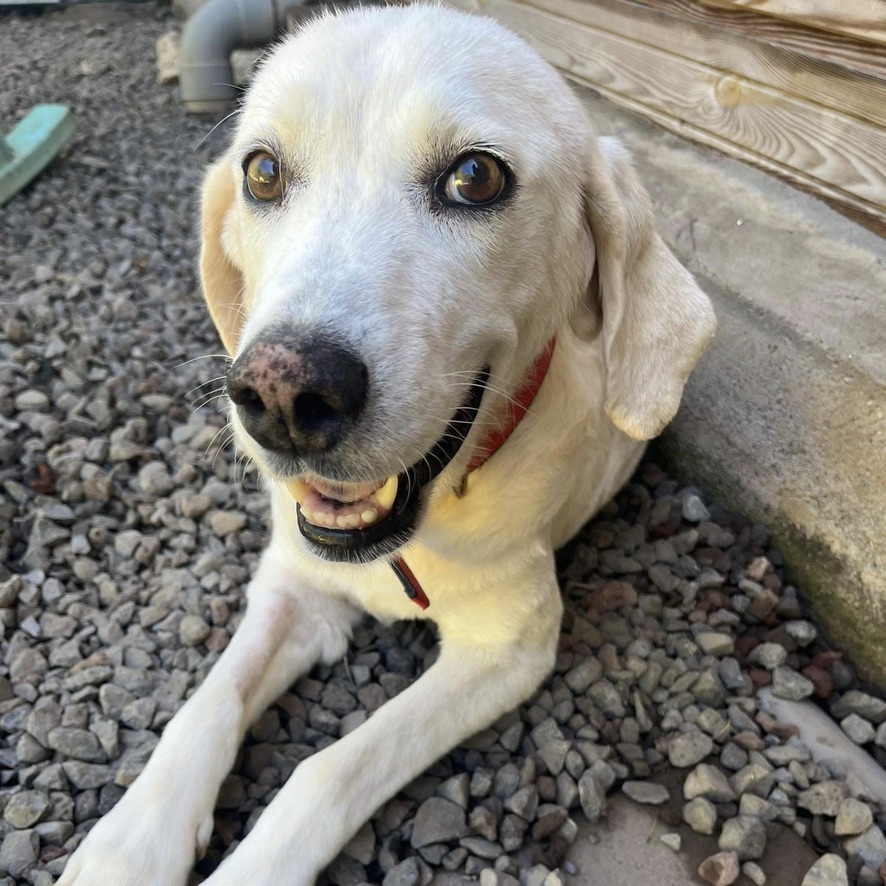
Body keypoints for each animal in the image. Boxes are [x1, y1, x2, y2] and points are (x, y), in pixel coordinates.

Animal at [60, 6, 716, 886]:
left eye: (475, 178)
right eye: (261, 172)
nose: (283, 394)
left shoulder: (509, 649)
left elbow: (328, 769)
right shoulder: (292, 587)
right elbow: (206, 705)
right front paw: (129, 842)